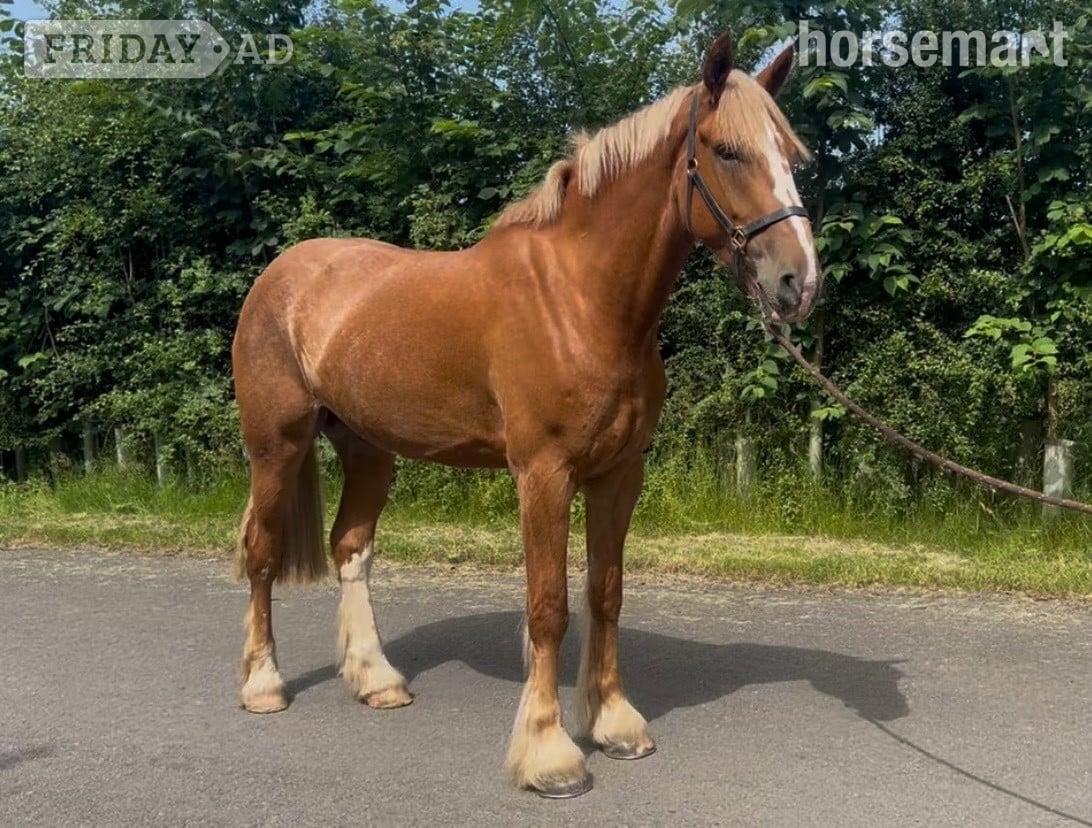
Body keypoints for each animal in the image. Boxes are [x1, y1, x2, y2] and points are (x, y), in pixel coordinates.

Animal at [230, 30, 819, 798]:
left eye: (791, 155)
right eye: (726, 151)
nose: (798, 282)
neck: (580, 299)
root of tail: (282, 274)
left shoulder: (618, 474)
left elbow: (605, 593)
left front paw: (614, 723)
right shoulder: (542, 474)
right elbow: (548, 608)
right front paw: (548, 754)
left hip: (369, 451)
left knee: (349, 548)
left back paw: (377, 680)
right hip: (277, 446)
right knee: (262, 553)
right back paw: (263, 684)